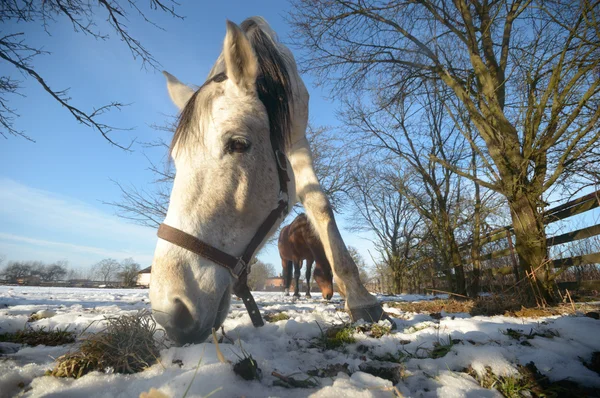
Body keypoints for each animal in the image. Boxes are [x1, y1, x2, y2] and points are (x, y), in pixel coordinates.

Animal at [148, 16, 386, 346]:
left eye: (238, 144)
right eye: (177, 159)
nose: (171, 311)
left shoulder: (297, 138)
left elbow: (319, 203)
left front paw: (361, 299)